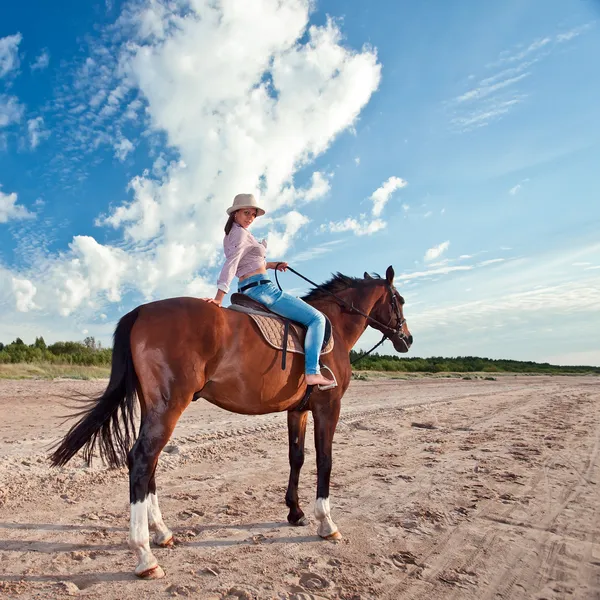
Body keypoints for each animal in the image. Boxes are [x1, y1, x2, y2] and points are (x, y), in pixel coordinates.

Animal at [50, 264, 412, 580]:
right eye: (399, 299)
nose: (407, 338)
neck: (330, 325)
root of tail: (140, 311)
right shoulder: (328, 407)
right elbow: (325, 460)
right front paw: (327, 523)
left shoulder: (298, 410)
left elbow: (297, 458)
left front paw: (295, 512)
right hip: (169, 406)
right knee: (142, 459)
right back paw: (145, 556)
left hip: (153, 407)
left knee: (146, 463)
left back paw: (162, 533)